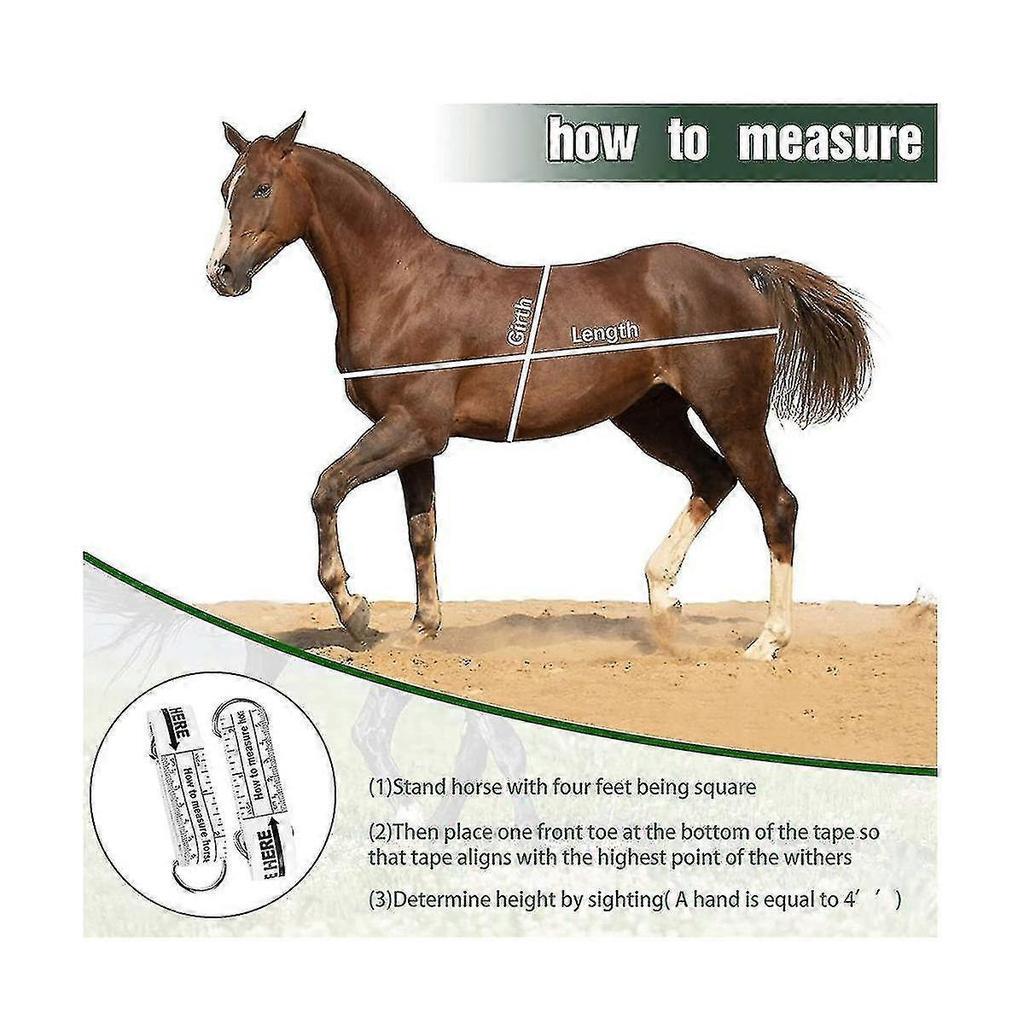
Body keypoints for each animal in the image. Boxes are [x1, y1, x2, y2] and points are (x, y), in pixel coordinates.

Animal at [206, 115, 871, 661]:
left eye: (262, 187)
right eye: (225, 188)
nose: (221, 273)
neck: (402, 286)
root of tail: (739, 271)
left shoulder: (414, 428)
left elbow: (327, 489)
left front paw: (357, 612)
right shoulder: (415, 441)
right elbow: (422, 530)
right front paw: (421, 628)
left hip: (731, 414)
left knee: (776, 503)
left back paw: (768, 640)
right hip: (651, 416)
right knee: (713, 478)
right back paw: (663, 604)